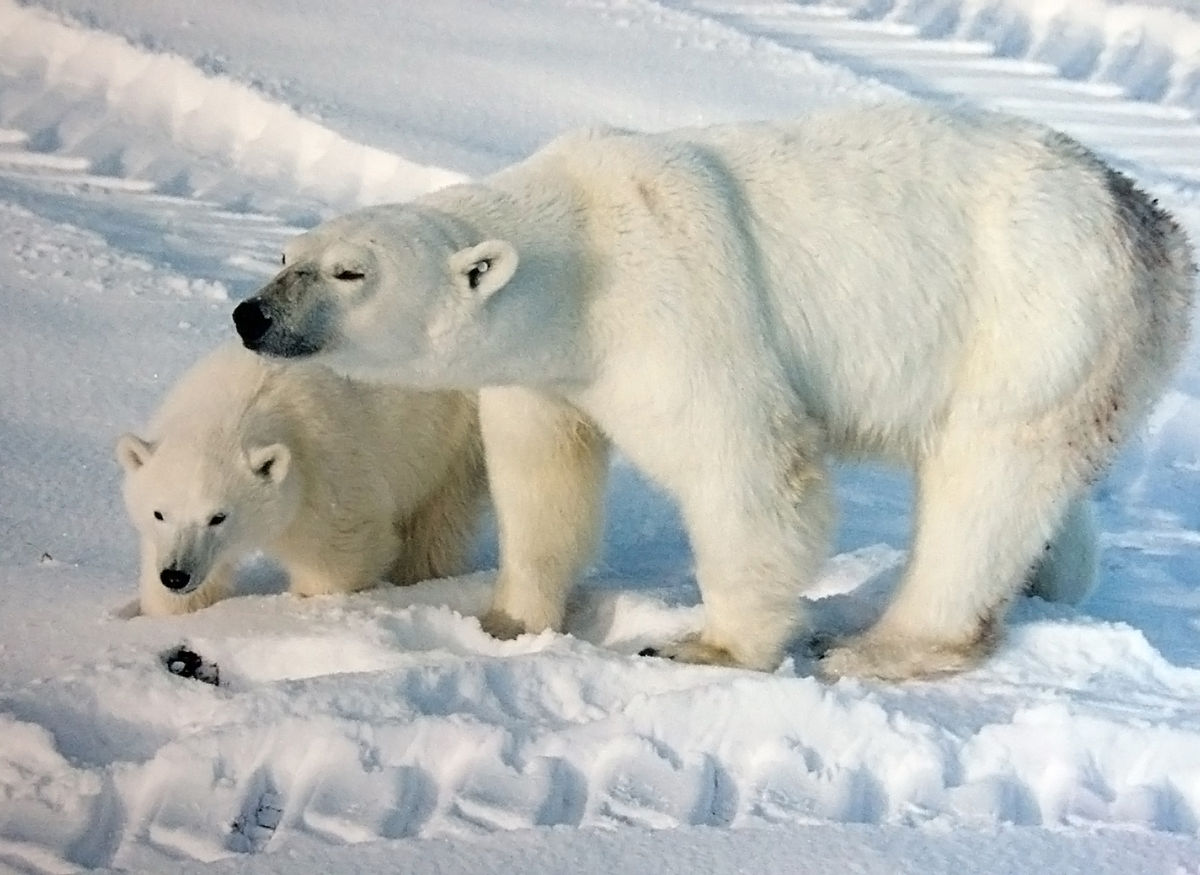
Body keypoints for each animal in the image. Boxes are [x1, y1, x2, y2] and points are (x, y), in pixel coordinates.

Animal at [231, 103, 1190, 681]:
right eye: (287, 255)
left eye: (350, 272)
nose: (250, 315)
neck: (580, 246)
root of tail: (1155, 231)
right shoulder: (547, 371)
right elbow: (542, 478)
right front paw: (504, 618)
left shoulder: (673, 306)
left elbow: (748, 465)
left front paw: (708, 644)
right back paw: (1052, 574)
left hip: (1035, 317)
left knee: (983, 485)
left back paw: (881, 644)